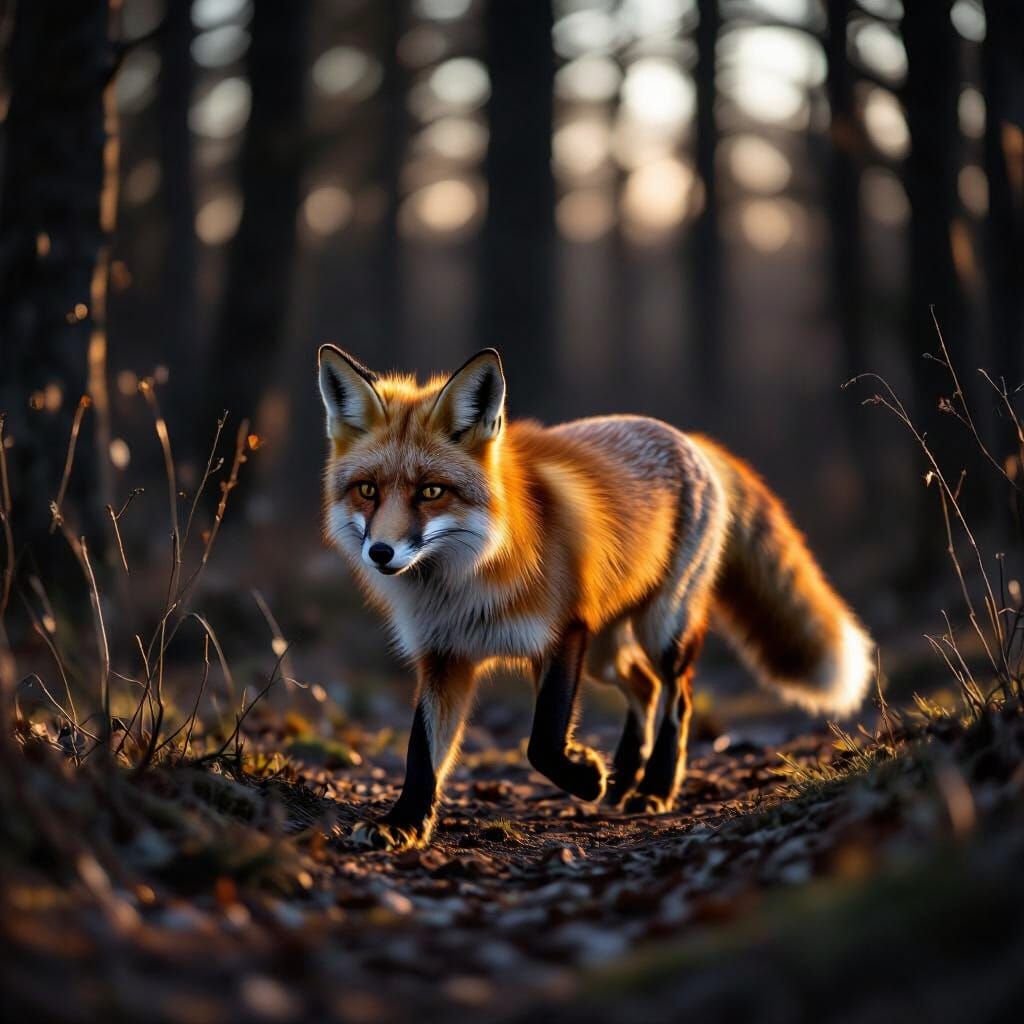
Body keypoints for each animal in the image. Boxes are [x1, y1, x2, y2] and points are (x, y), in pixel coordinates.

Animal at [317, 345, 874, 851]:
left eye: (431, 492)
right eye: (368, 490)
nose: (381, 552)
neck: (463, 584)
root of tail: (687, 438)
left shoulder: (565, 632)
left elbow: (542, 743)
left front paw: (585, 778)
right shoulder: (444, 656)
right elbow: (421, 753)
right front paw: (403, 824)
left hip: (661, 628)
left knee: (678, 696)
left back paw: (654, 788)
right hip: (606, 651)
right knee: (644, 686)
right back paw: (627, 775)